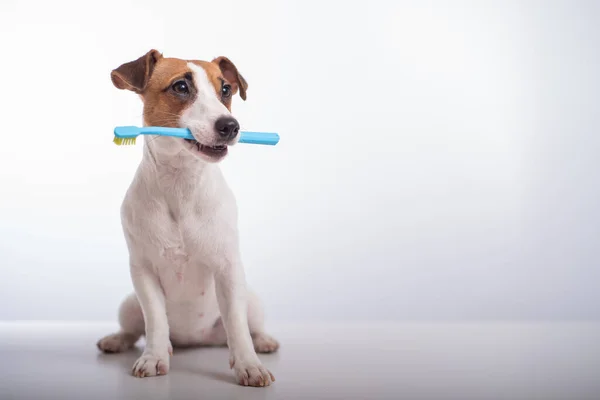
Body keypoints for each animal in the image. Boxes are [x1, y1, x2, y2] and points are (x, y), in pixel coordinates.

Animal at [96, 49, 278, 388]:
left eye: (226, 90)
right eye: (181, 87)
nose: (231, 126)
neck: (182, 182)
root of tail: (196, 340)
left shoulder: (228, 270)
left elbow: (237, 325)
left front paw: (249, 365)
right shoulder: (143, 271)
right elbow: (155, 320)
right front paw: (154, 357)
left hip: (253, 301)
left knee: (250, 326)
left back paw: (263, 341)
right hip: (129, 304)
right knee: (134, 329)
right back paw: (119, 340)